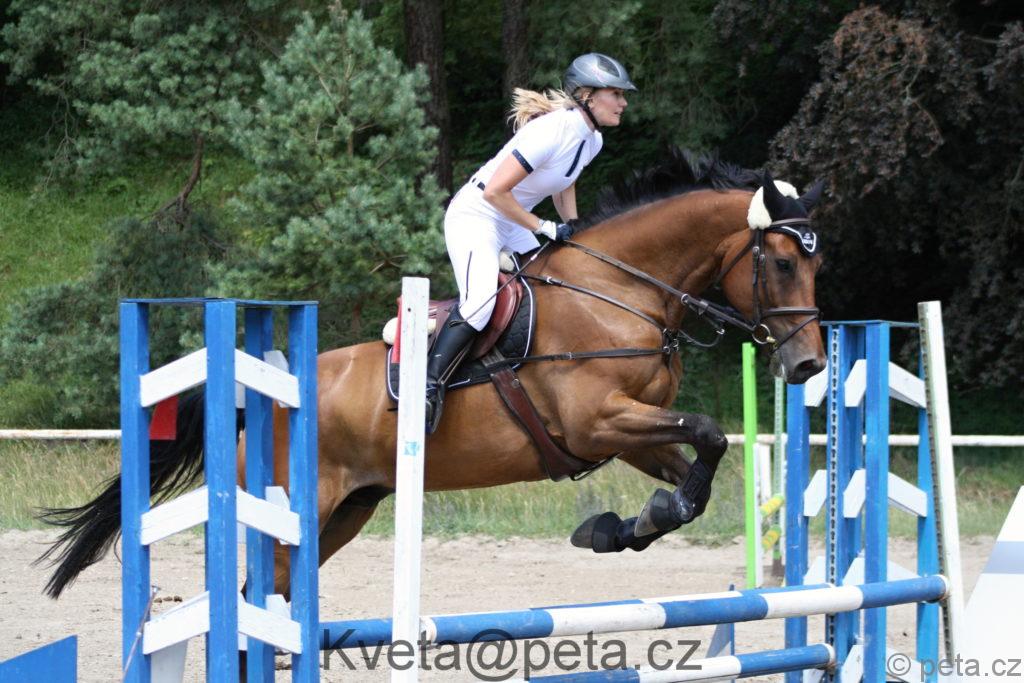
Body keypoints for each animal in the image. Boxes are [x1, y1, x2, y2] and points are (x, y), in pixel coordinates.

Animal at [38, 151, 826, 599]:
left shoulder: (623, 432)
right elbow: (710, 434)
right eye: (785, 262)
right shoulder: (598, 419)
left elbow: (697, 467)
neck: (618, 290)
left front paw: (621, 527)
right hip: (302, 504)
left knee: (281, 588)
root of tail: (255, 396)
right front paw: (633, 520)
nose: (809, 363)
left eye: (815, 264)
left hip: (350, 509)